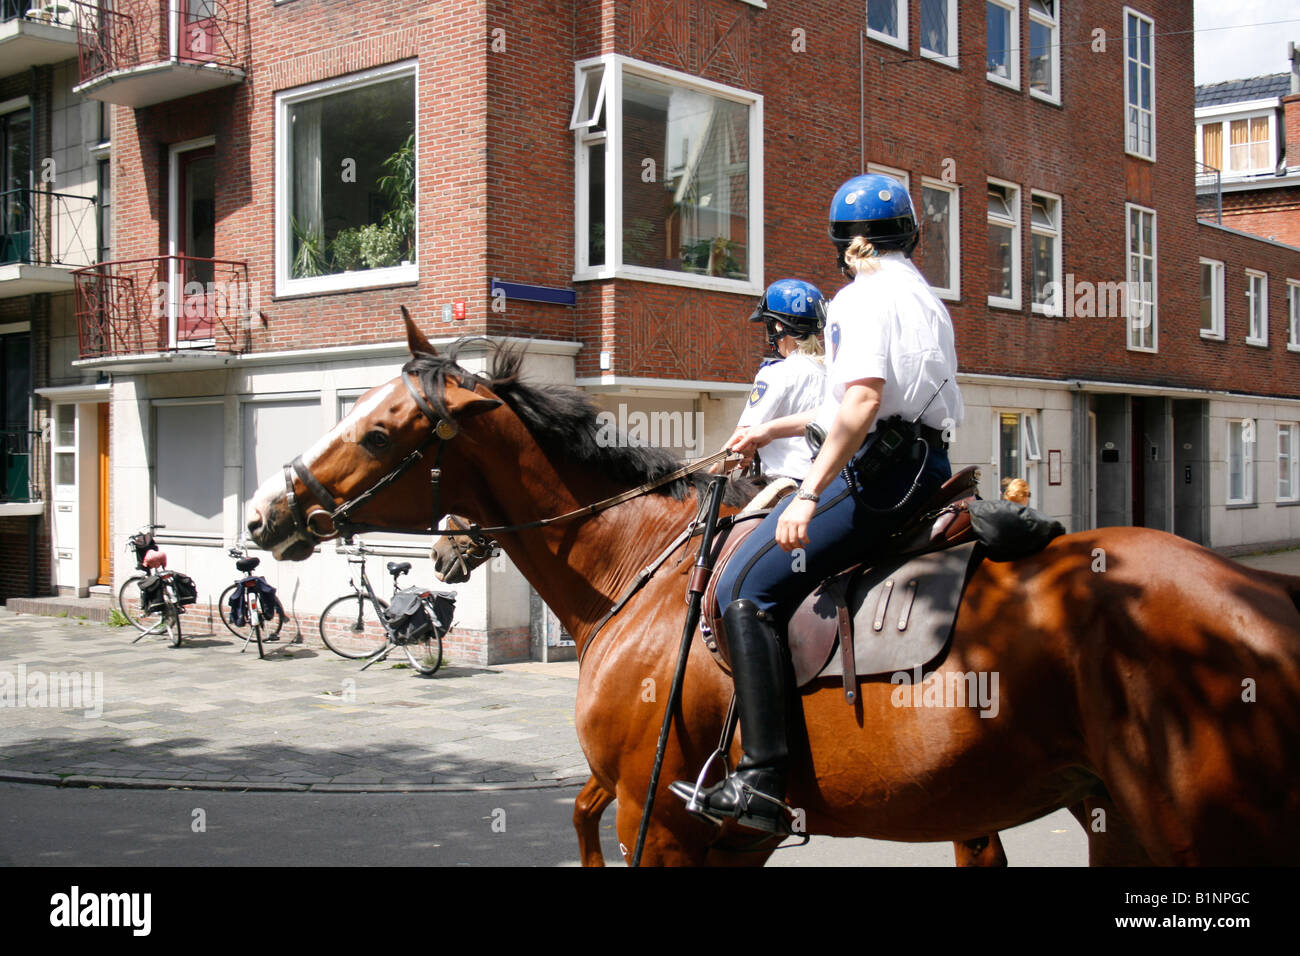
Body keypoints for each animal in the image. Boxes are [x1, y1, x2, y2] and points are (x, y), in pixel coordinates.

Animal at [245, 321, 1300, 868]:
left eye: (379, 431)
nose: (264, 515)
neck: (640, 569)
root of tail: (1261, 596)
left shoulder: (661, 820)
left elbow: (596, 818)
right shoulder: (707, 830)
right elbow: (580, 810)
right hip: (1114, 819)